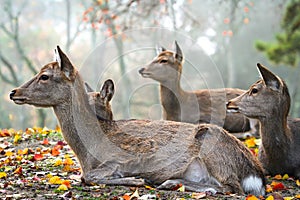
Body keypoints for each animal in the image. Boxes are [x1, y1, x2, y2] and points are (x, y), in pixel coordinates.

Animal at [9, 46, 264, 195]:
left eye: (44, 76)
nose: (13, 92)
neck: (88, 151)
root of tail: (256, 172)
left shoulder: (123, 157)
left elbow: (87, 177)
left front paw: (136, 179)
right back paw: (173, 182)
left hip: (213, 143)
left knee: (233, 187)